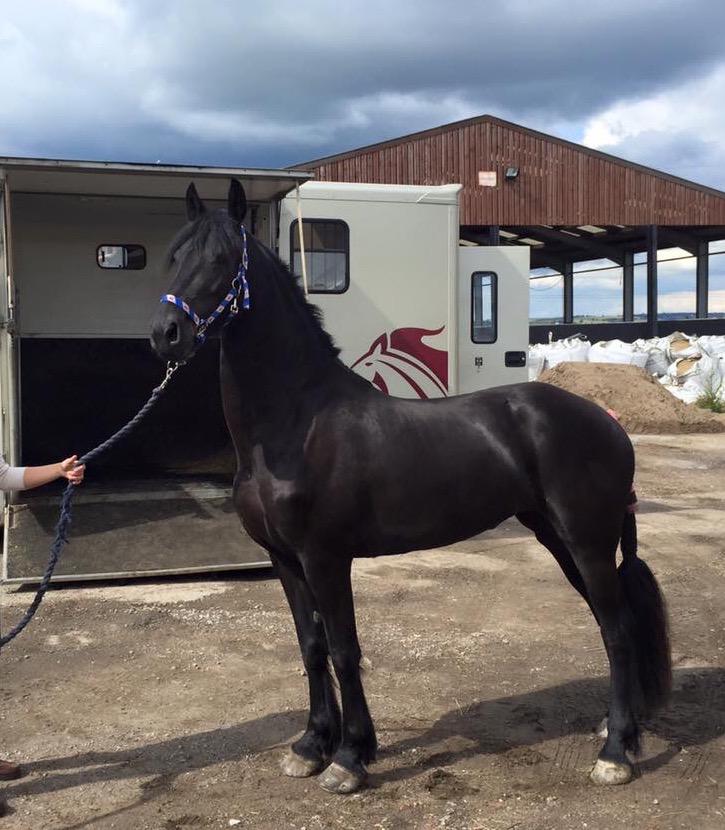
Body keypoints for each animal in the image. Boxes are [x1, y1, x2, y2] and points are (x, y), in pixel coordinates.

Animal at [150, 179, 671, 795]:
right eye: (174, 256)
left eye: (223, 260)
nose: (166, 334)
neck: (296, 423)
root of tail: (608, 423)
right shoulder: (284, 558)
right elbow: (311, 646)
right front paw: (311, 745)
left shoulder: (326, 557)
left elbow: (345, 650)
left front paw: (349, 757)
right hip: (558, 538)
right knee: (611, 621)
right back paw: (620, 730)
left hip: (586, 540)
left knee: (617, 629)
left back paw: (615, 753)